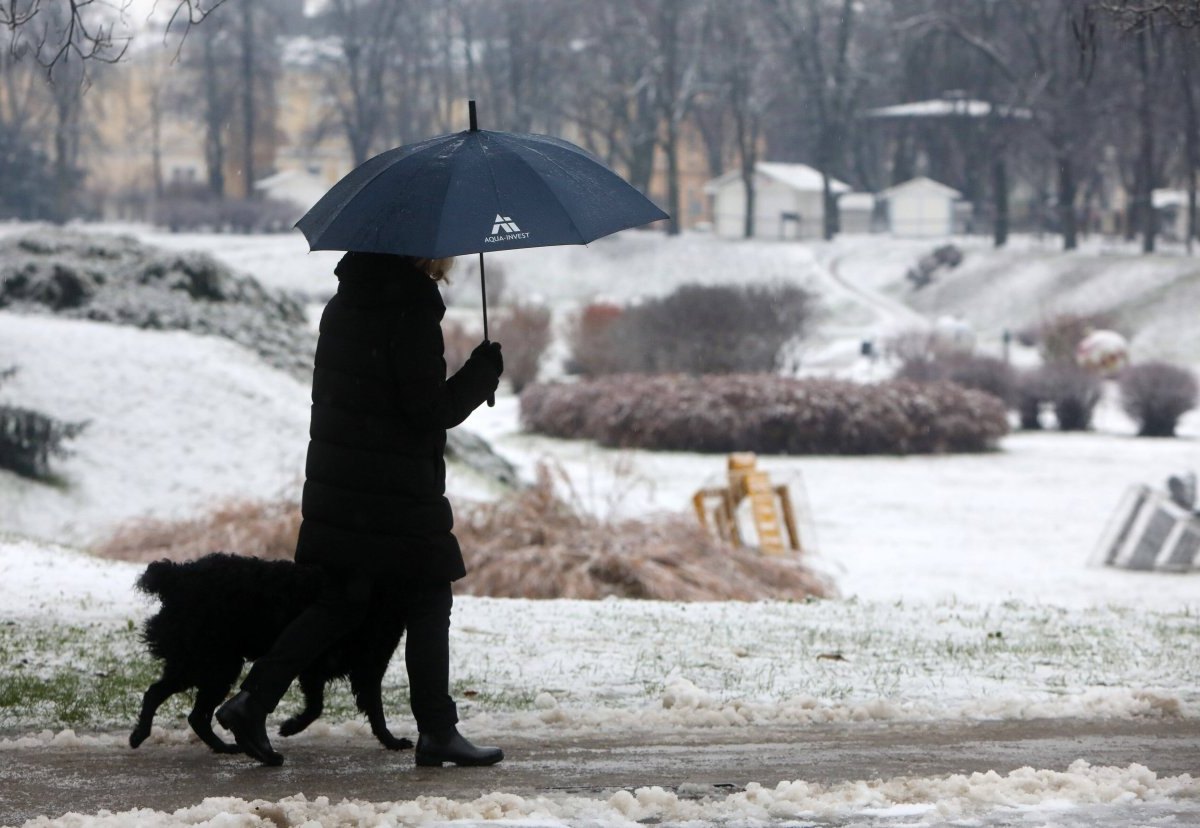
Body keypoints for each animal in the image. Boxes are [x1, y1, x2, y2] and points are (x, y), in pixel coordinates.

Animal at [125, 552, 408, 753]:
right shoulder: (323, 667)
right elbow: (323, 707)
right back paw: (142, 735)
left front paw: (391, 741)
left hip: (207, 666)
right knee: (165, 699)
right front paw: (291, 727)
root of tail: (178, 576)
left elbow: (361, 709)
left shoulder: (356, 670)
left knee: (188, 712)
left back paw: (221, 747)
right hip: (210, 665)